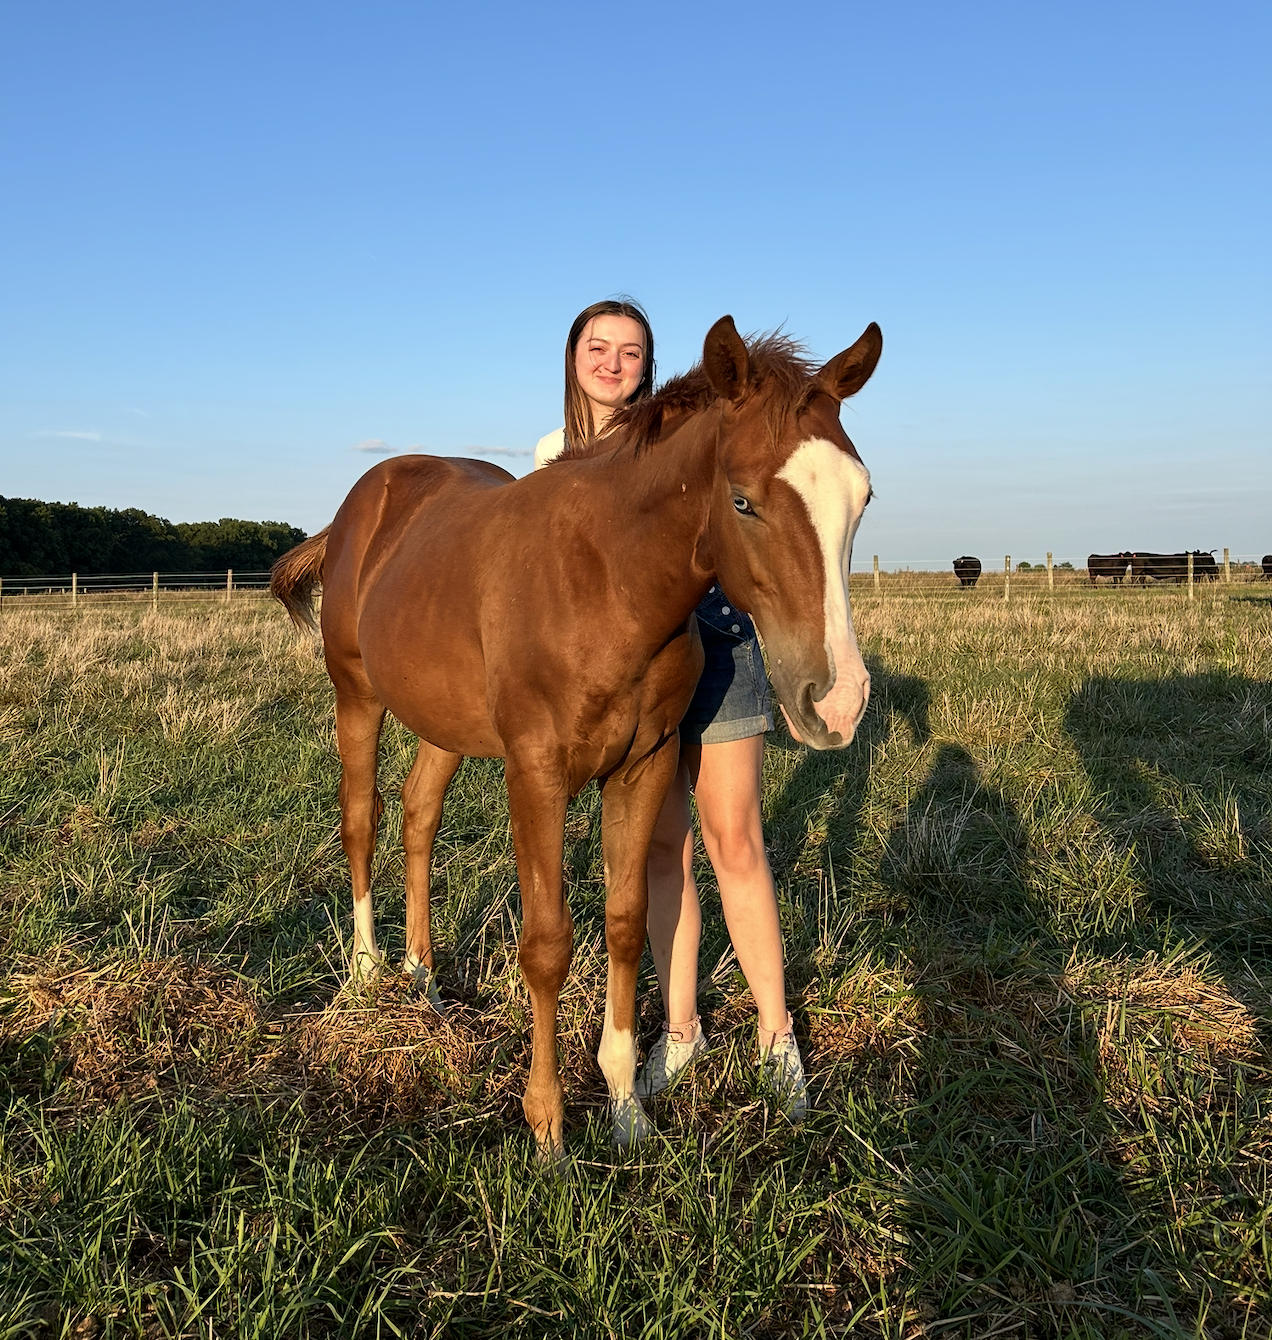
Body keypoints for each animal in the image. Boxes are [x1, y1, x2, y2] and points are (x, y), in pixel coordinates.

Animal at [270, 315, 882, 1161]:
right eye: (742, 500)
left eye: (863, 496)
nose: (838, 700)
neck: (608, 580)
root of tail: (366, 499)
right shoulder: (536, 773)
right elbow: (549, 943)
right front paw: (549, 1128)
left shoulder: (644, 764)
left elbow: (628, 925)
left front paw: (626, 1108)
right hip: (356, 695)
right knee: (361, 818)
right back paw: (365, 976)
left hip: (444, 722)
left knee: (418, 815)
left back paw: (423, 978)